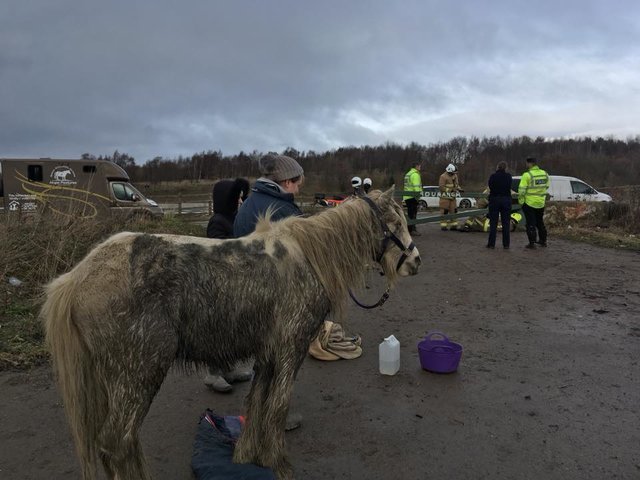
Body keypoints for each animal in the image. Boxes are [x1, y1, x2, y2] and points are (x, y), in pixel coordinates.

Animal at [40, 188, 420, 480]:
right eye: (395, 223)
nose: (415, 261)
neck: (307, 258)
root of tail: (77, 277)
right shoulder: (290, 349)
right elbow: (277, 406)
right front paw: (279, 465)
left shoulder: (268, 353)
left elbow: (258, 402)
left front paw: (249, 456)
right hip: (139, 372)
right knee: (117, 442)